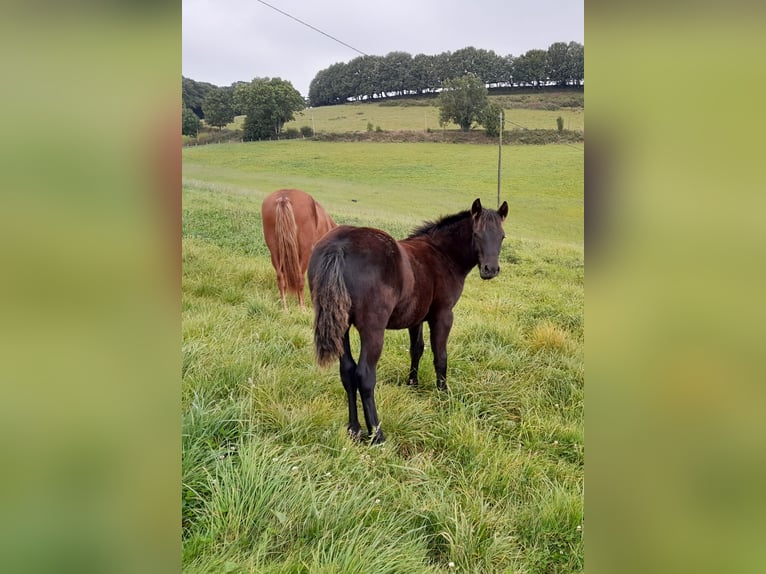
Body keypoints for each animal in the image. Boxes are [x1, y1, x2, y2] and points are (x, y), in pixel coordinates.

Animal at [306, 199, 510, 446]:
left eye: (502, 236)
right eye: (477, 234)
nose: (491, 269)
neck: (441, 254)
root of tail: (340, 245)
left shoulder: (416, 317)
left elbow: (417, 349)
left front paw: (413, 384)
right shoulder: (443, 315)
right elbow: (440, 357)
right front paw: (443, 395)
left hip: (341, 327)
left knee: (347, 371)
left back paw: (354, 429)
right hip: (373, 330)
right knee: (364, 375)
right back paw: (377, 434)